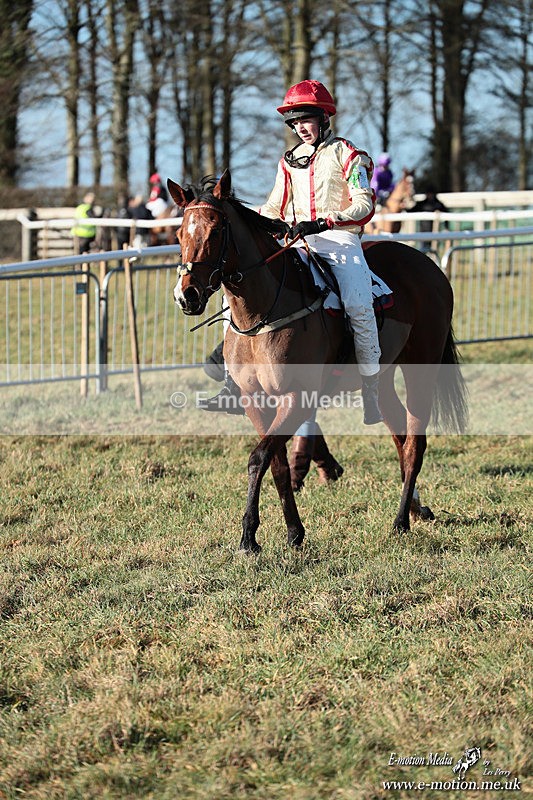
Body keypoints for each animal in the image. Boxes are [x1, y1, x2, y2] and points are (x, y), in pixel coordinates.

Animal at [169, 170, 467, 554]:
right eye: (180, 233)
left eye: (216, 230)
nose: (187, 295)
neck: (265, 313)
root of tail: (430, 266)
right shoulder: (255, 400)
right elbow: (276, 464)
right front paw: (293, 531)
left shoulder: (298, 396)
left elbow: (258, 458)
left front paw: (249, 536)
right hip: (383, 376)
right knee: (400, 435)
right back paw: (415, 508)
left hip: (422, 367)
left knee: (415, 443)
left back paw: (401, 521)